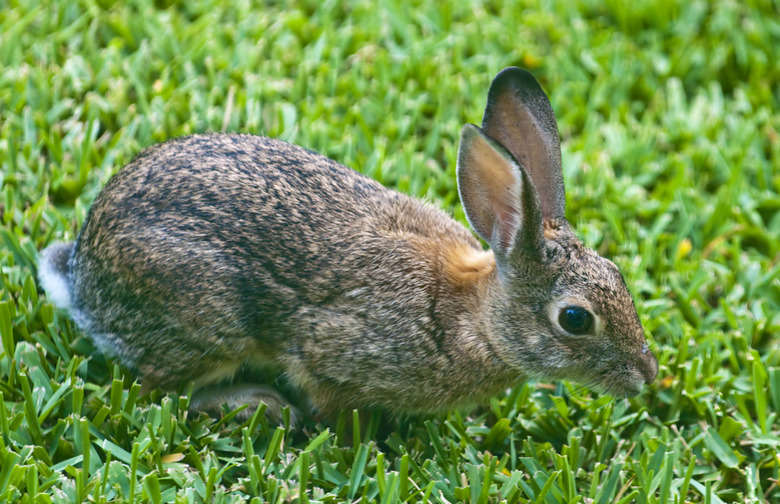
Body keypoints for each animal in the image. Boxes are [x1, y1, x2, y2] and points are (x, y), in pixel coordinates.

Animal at [39, 67, 658, 424]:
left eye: (619, 274)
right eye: (575, 319)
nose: (647, 375)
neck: (473, 315)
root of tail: (82, 277)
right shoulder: (331, 349)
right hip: (208, 314)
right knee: (166, 389)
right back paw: (258, 405)